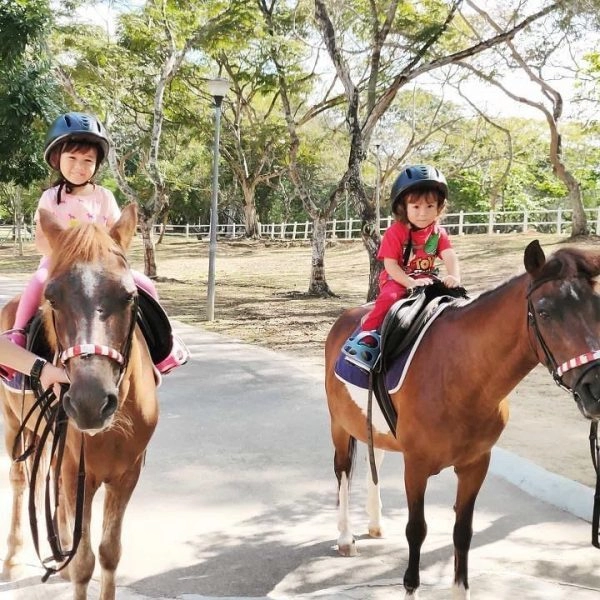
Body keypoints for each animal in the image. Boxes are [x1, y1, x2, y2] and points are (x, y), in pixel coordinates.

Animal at [0, 204, 159, 596]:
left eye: (130, 296)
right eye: (52, 298)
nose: (89, 402)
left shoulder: (126, 476)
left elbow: (109, 553)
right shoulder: (77, 474)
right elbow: (85, 562)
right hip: (13, 427)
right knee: (19, 481)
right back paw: (12, 557)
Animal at [326, 240, 600, 600]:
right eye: (544, 312)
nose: (597, 387)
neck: (463, 371)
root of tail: (344, 319)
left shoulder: (475, 465)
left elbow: (463, 531)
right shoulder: (416, 467)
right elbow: (416, 530)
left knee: (376, 461)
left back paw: (375, 523)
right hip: (339, 425)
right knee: (343, 471)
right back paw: (345, 537)